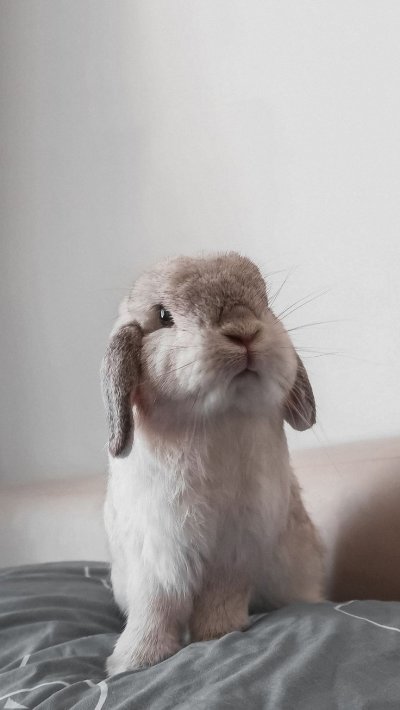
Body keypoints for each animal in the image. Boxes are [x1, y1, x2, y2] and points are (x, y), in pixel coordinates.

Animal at [101, 252, 325, 675]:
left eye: (264, 301)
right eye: (163, 316)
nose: (244, 331)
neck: (216, 418)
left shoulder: (236, 547)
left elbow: (222, 595)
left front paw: (218, 634)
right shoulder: (156, 555)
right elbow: (155, 607)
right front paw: (135, 661)